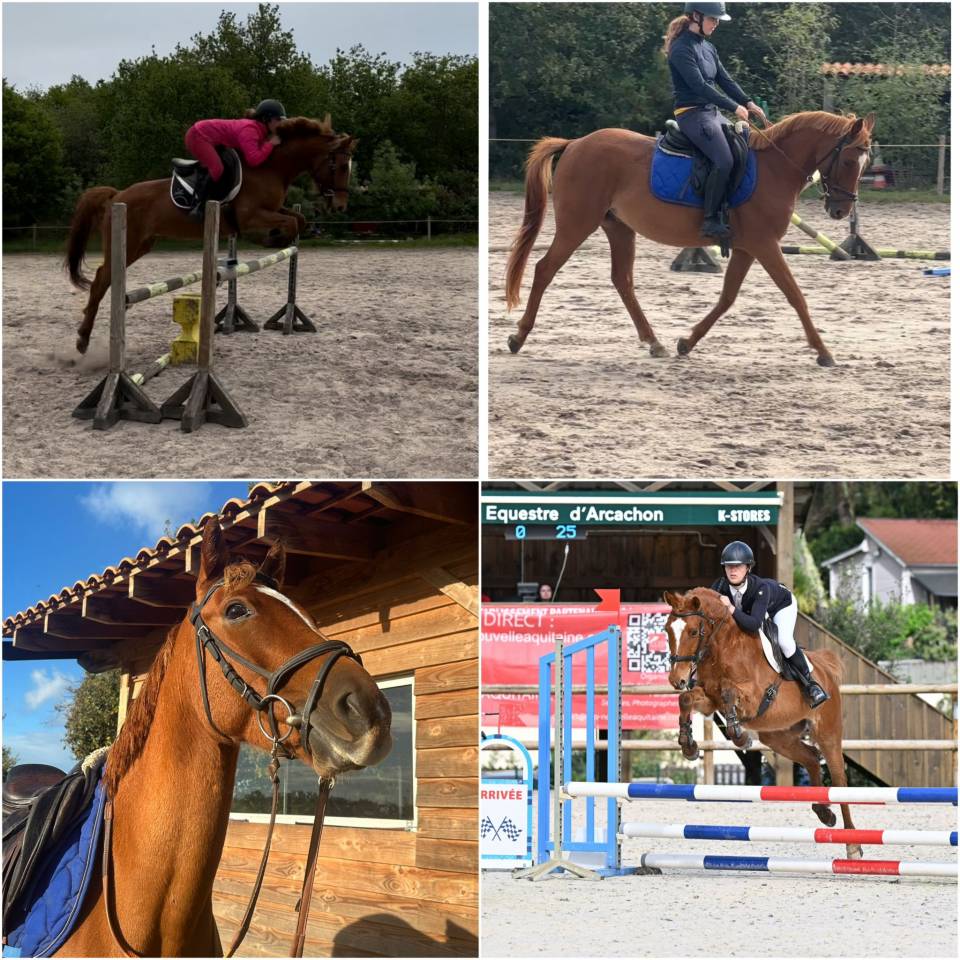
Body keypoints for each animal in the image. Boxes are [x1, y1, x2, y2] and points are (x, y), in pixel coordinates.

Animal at [65, 116, 356, 354]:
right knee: (102, 279)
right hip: (128, 242)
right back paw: (82, 340)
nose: (341, 206)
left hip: (140, 245)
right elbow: (291, 224)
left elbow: (298, 219)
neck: (271, 167)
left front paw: (279, 239)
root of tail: (117, 196)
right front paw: (273, 239)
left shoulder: (273, 210)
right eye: (342, 166)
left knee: (106, 277)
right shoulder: (251, 217)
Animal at [504, 111, 875, 366]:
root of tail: (574, 143)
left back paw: (654, 342)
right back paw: (519, 337)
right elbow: (795, 296)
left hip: (619, 228)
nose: (841, 210)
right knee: (544, 269)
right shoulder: (765, 245)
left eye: (865, 162)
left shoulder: (748, 248)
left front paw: (688, 341)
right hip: (577, 224)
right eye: (847, 160)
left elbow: (727, 297)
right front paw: (823, 351)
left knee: (622, 280)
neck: (774, 168)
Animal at [662, 587, 862, 859]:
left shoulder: (754, 696)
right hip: (777, 736)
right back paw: (824, 812)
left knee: (839, 779)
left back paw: (852, 845)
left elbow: (728, 692)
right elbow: (686, 699)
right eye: (667, 630)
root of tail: (825, 670)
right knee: (811, 758)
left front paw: (740, 736)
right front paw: (688, 745)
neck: (721, 648)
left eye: (693, 631)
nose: (677, 679)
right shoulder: (709, 700)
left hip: (827, 732)